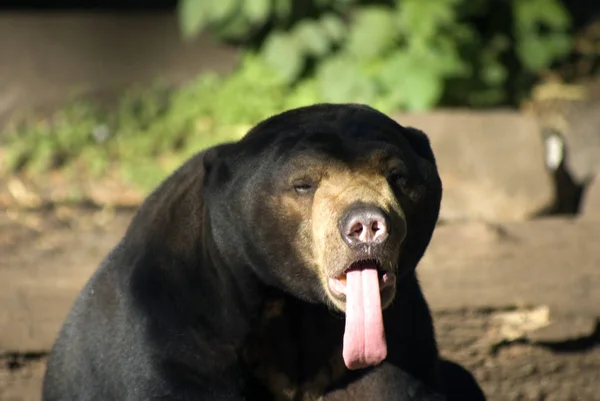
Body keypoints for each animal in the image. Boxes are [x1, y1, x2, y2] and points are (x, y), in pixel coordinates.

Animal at [41, 104, 482, 400]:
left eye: (398, 176)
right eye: (303, 184)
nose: (367, 225)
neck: (294, 306)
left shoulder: (400, 329)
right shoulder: (174, 323)